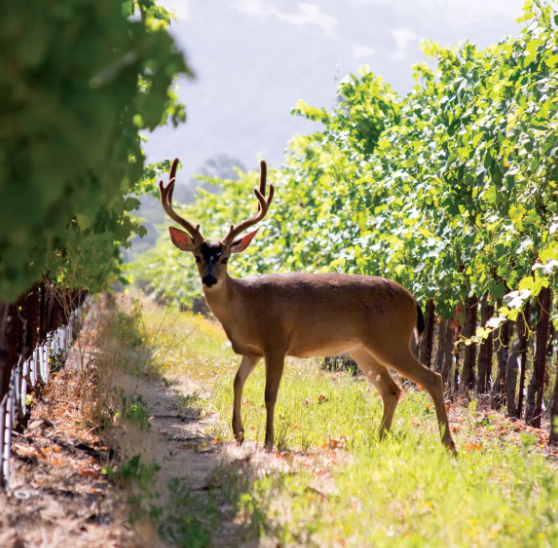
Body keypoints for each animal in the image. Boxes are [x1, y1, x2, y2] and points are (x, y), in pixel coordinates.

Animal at [160, 157, 458, 454]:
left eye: (224, 259)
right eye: (198, 257)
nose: (210, 280)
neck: (245, 306)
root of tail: (413, 300)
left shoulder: (276, 342)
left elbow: (269, 394)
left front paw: (268, 440)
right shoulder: (252, 351)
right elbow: (237, 382)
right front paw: (239, 434)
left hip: (391, 340)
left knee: (433, 378)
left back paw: (448, 444)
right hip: (362, 348)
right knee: (392, 389)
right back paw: (379, 440)